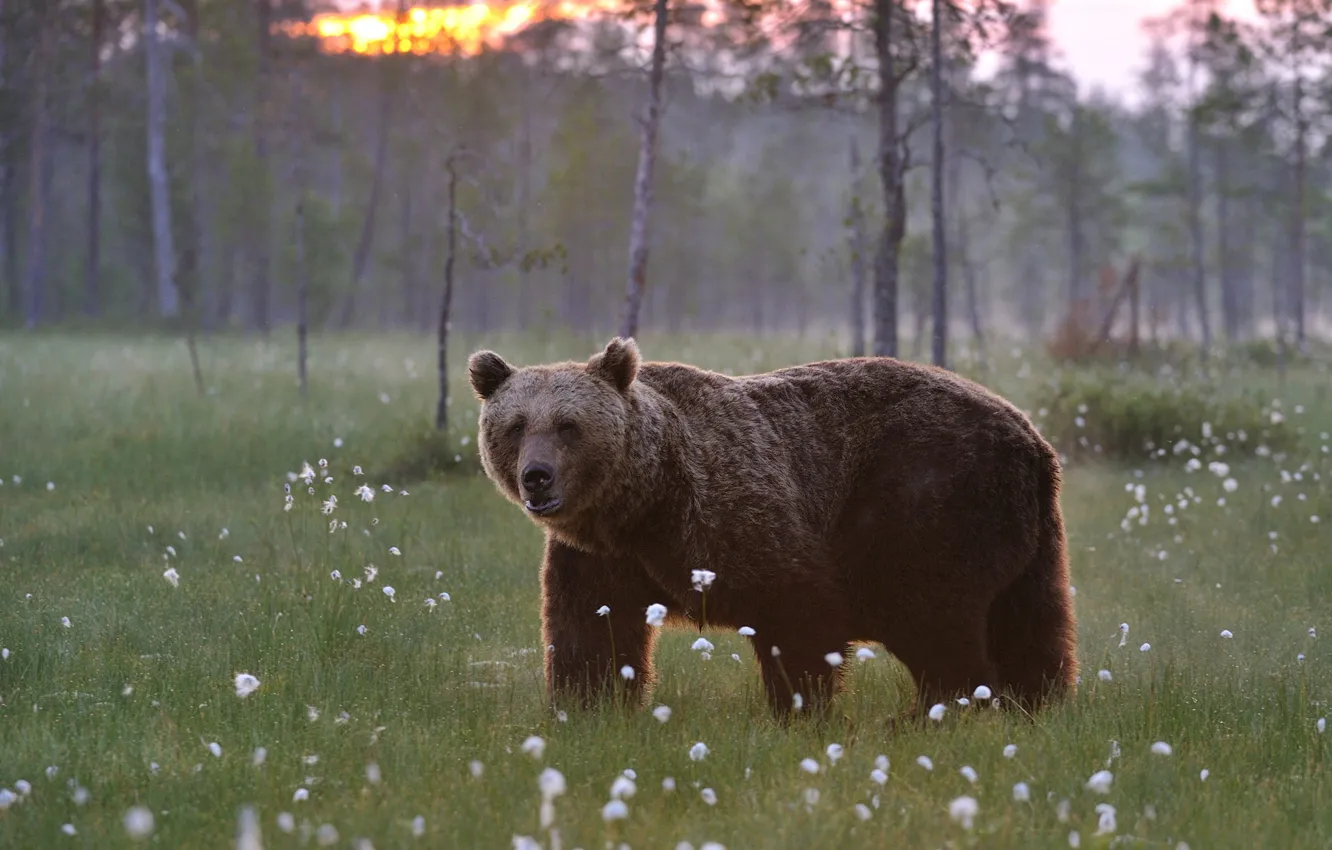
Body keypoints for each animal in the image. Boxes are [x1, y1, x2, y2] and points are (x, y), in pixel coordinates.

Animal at [463, 335, 1076, 724]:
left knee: (933, 614)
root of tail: (1035, 440)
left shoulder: (739, 515)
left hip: (926, 495)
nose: (536, 477)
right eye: (516, 425)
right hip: (1024, 533)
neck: (642, 505)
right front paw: (586, 709)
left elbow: (799, 615)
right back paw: (1037, 701)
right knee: (1030, 620)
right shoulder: (600, 557)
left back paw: (934, 713)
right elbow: (588, 631)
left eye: (569, 426)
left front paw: (798, 711)